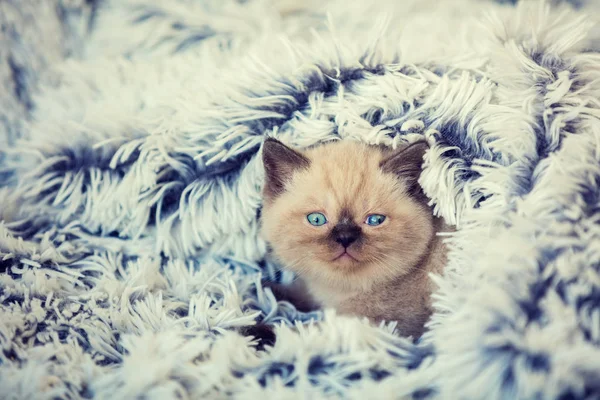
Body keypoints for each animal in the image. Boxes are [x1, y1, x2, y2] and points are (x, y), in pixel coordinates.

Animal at [260, 138, 452, 338]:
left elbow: (301, 332)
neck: (344, 289)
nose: (345, 238)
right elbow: (298, 293)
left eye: (375, 220)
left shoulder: (384, 324)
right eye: (317, 219)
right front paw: (262, 287)